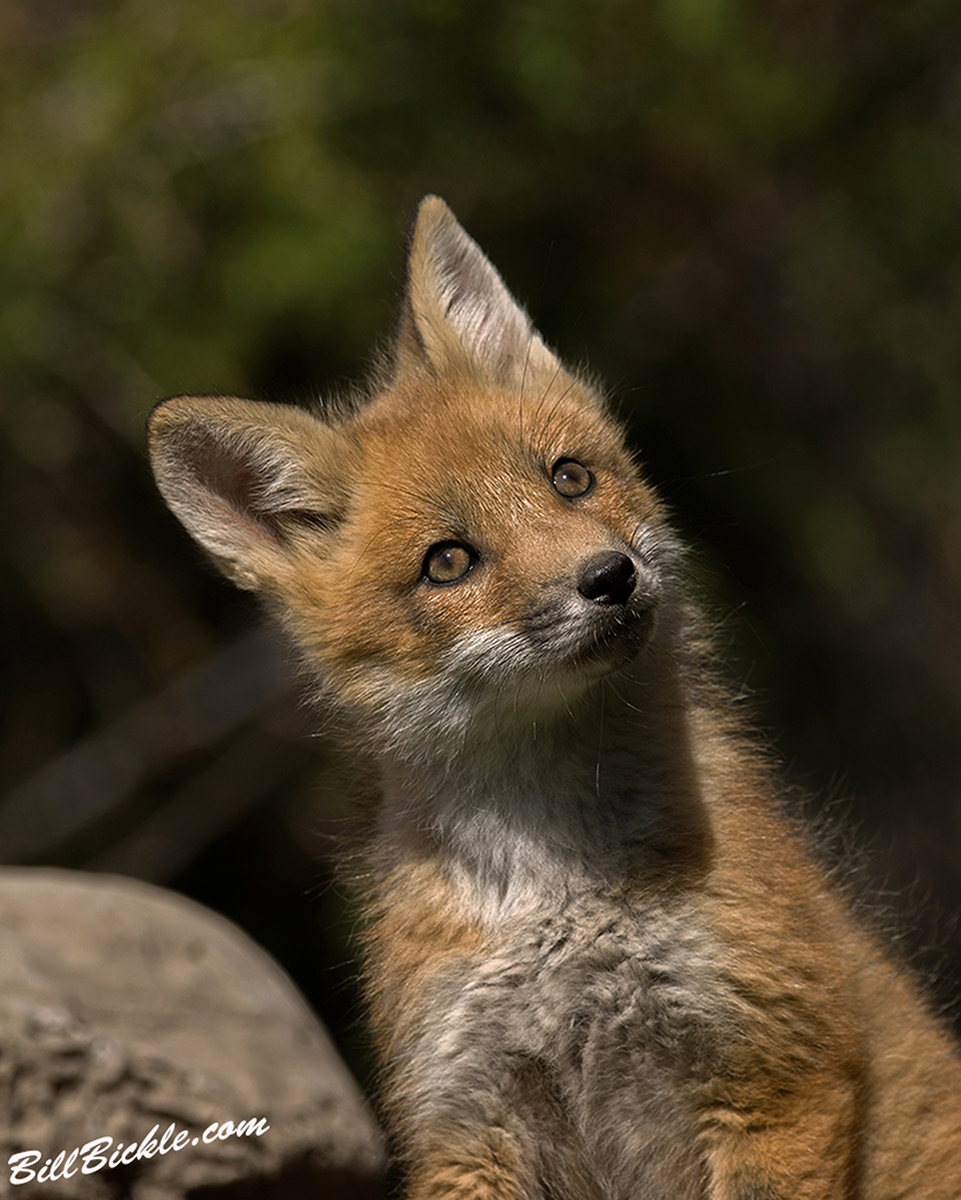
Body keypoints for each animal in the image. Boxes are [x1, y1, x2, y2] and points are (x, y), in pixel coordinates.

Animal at [147, 196, 961, 1199]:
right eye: (447, 562)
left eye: (568, 477)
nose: (608, 577)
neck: (558, 896)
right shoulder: (465, 1123)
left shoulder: (775, 1077)